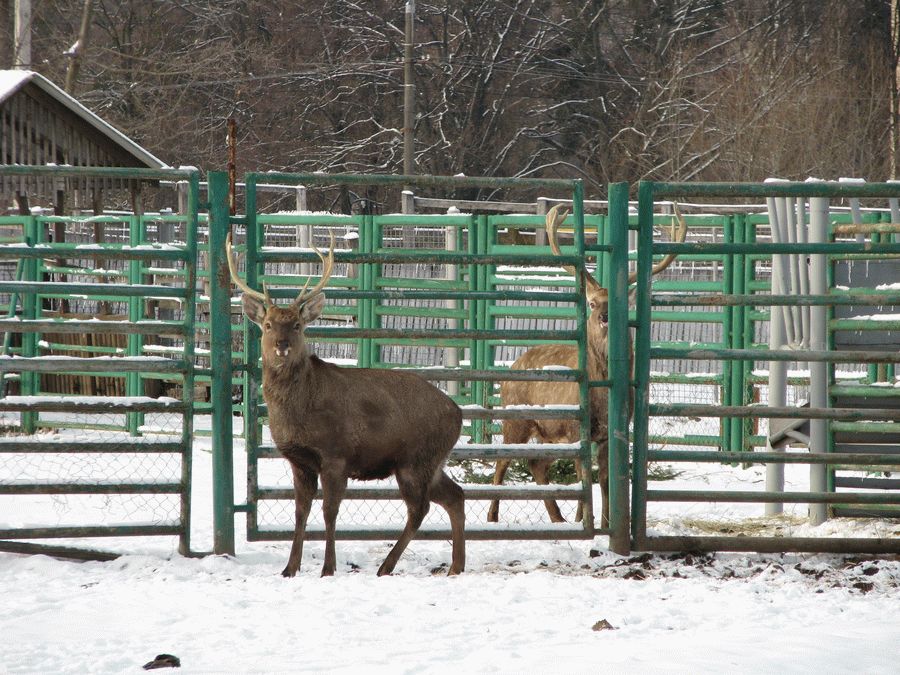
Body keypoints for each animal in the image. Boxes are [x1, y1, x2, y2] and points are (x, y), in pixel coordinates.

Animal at [225, 231, 468, 576]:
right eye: (268, 324)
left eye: (297, 325)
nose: (282, 346)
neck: (299, 413)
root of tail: (458, 413)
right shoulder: (299, 460)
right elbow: (300, 512)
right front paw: (290, 568)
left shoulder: (335, 455)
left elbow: (329, 511)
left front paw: (328, 568)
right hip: (431, 462)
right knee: (455, 496)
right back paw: (455, 566)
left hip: (416, 459)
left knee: (419, 508)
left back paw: (386, 566)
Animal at [488, 203, 684, 532]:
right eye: (591, 303)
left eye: (616, 303)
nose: (604, 317)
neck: (602, 392)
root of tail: (514, 363)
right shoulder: (576, 429)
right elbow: (585, 479)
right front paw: (588, 521)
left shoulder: (609, 433)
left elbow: (604, 481)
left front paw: (604, 524)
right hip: (516, 417)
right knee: (503, 461)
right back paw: (492, 517)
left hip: (547, 432)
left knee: (536, 463)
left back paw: (558, 517)